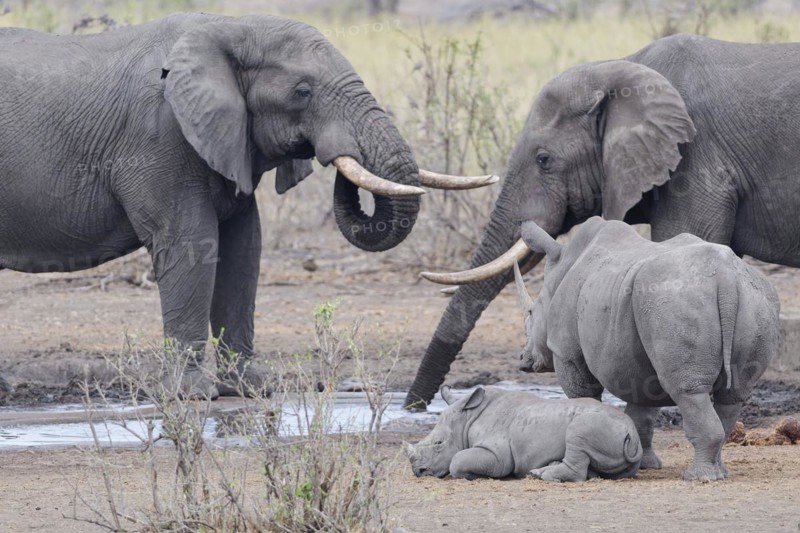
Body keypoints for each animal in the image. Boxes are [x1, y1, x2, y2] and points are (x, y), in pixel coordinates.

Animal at [0, 13, 496, 398]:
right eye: (302, 92)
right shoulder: (157, 137)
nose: (334, 153)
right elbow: (192, 243)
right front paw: (192, 395)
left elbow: (244, 246)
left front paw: (249, 389)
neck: (231, 27)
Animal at [405, 385, 642, 482]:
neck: (467, 419)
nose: (418, 471)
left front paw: (473, 475)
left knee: (578, 433)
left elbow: (457, 460)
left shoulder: (497, 456)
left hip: (597, 423)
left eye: (439, 443)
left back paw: (542, 475)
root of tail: (634, 437)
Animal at [512, 217, 780, 481]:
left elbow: (584, 398)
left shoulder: (566, 351)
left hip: (676, 299)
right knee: (733, 394)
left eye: (531, 313)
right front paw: (645, 466)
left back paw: (698, 477)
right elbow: (643, 410)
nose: (523, 359)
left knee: (688, 390)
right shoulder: (638, 359)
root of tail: (725, 276)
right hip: (756, 300)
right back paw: (719, 472)